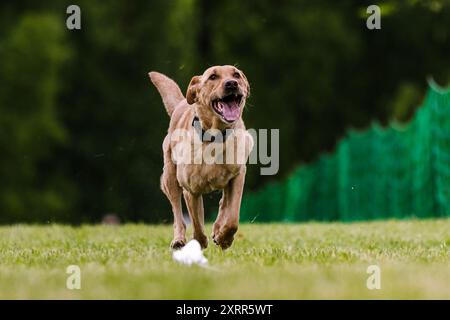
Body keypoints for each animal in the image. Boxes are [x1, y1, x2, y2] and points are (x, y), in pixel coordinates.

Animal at [149, 65, 251, 250]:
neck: (215, 135)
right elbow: (196, 223)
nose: (232, 83)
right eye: (212, 77)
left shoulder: (238, 175)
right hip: (169, 178)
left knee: (224, 203)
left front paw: (224, 238)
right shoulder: (190, 189)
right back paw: (179, 240)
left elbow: (232, 218)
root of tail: (181, 103)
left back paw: (218, 230)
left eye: (236, 74)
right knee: (178, 214)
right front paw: (200, 242)